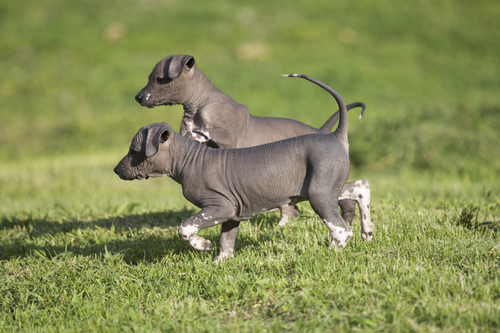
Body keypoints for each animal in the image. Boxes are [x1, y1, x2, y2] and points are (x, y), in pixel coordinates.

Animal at [116, 74, 376, 262]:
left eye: (134, 151)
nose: (117, 170)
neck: (191, 159)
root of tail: (335, 136)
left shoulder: (220, 206)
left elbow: (185, 228)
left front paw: (202, 245)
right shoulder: (232, 212)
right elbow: (226, 243)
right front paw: (220, 264)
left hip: (319, 193)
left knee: (341, 230)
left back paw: (330, 253)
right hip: (327, 186)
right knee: (361, 187)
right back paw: (368, 231)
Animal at [135, 54, 370, 226]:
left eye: (159, 79)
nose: (138, 97)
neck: (198, 105)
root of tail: (324, 132)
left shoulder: (228, 139)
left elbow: (211, 136)